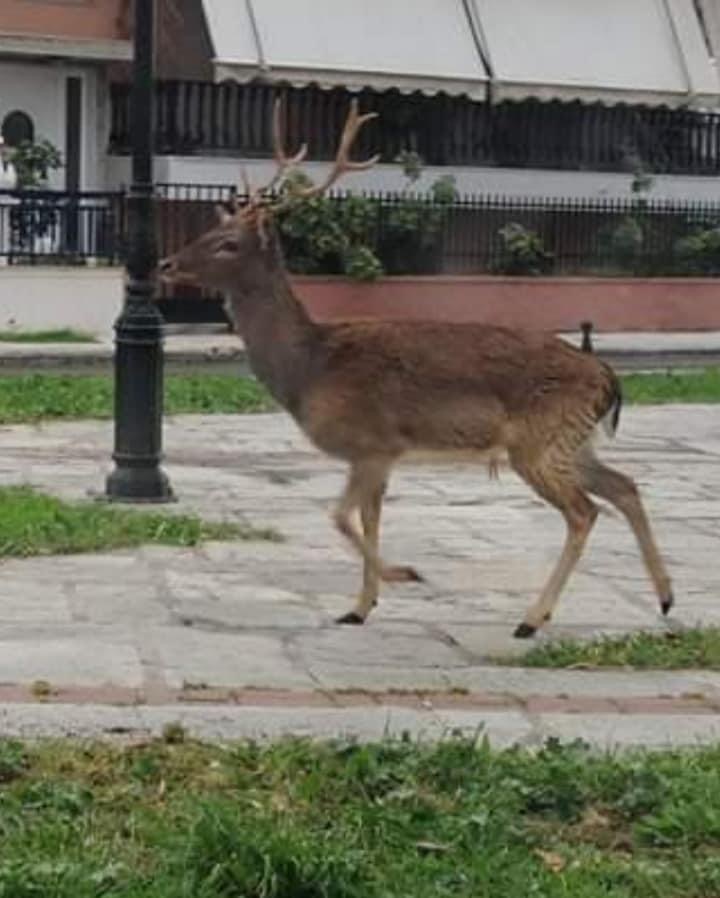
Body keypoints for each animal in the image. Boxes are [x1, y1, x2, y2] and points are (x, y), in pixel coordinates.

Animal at [159, 100, 676, 636]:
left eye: (228, 243)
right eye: (207, 231)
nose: (165, 264)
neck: (310, 368)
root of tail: (608, 378)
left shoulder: (372, 443)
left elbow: (340, 517)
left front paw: (405, 574)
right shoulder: (378, 457)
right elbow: (368, 519)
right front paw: (360, 607)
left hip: (540, 440)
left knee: (584, 512)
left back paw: (532, 619)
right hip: (571, 440)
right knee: (625, 486)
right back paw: (663, 597)